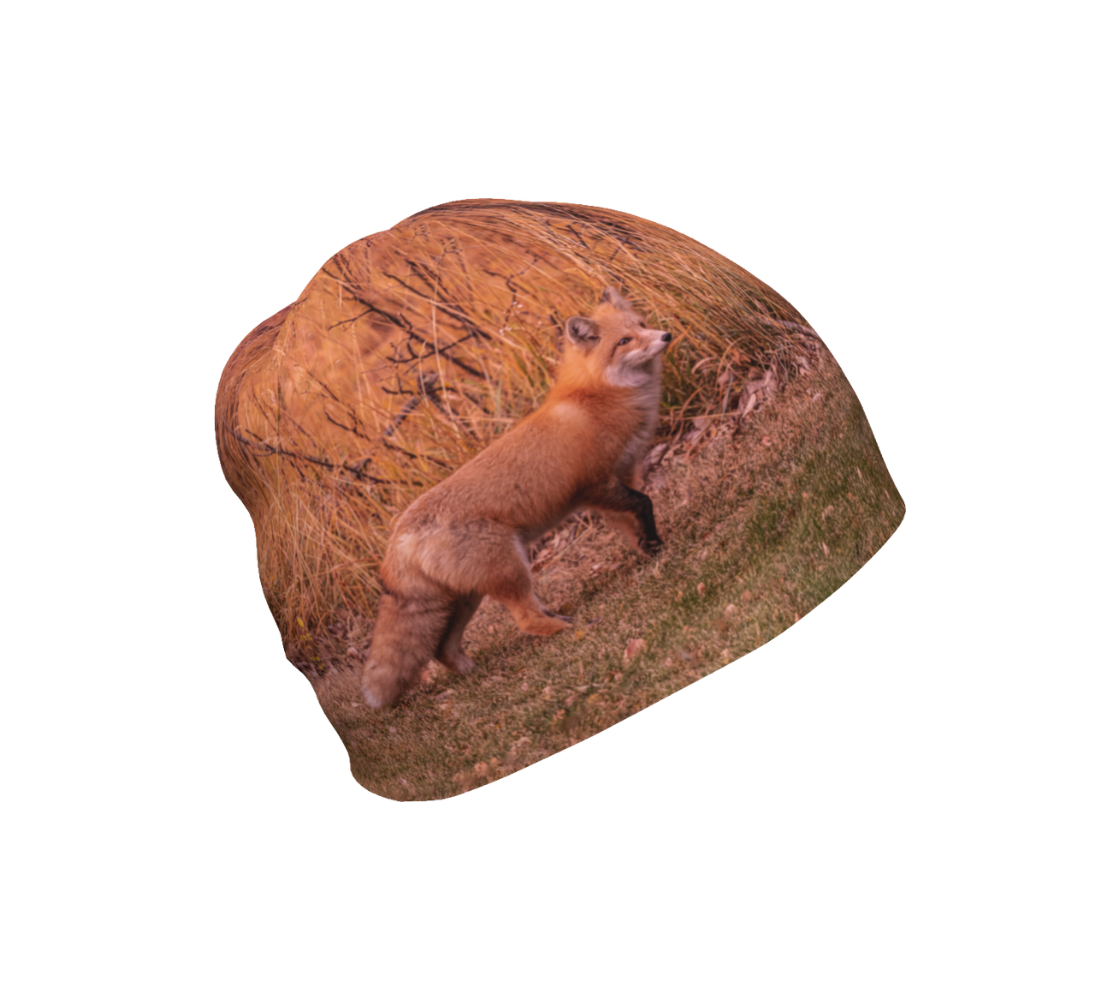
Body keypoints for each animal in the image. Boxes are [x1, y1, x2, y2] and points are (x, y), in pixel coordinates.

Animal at [361, 287, 672, 709]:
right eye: (624, 341)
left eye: (641, 325)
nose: (665, 336)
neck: (595, 398)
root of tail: (396, 539)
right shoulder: (595, 485)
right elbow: (645, 504)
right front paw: (655, 546)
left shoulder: (615, 483)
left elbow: (632, 524)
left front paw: (648, 550)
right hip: (511, 571)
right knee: (524, 620)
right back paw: (564, 627)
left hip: (469, 597)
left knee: (442, 649)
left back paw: (475, 672)